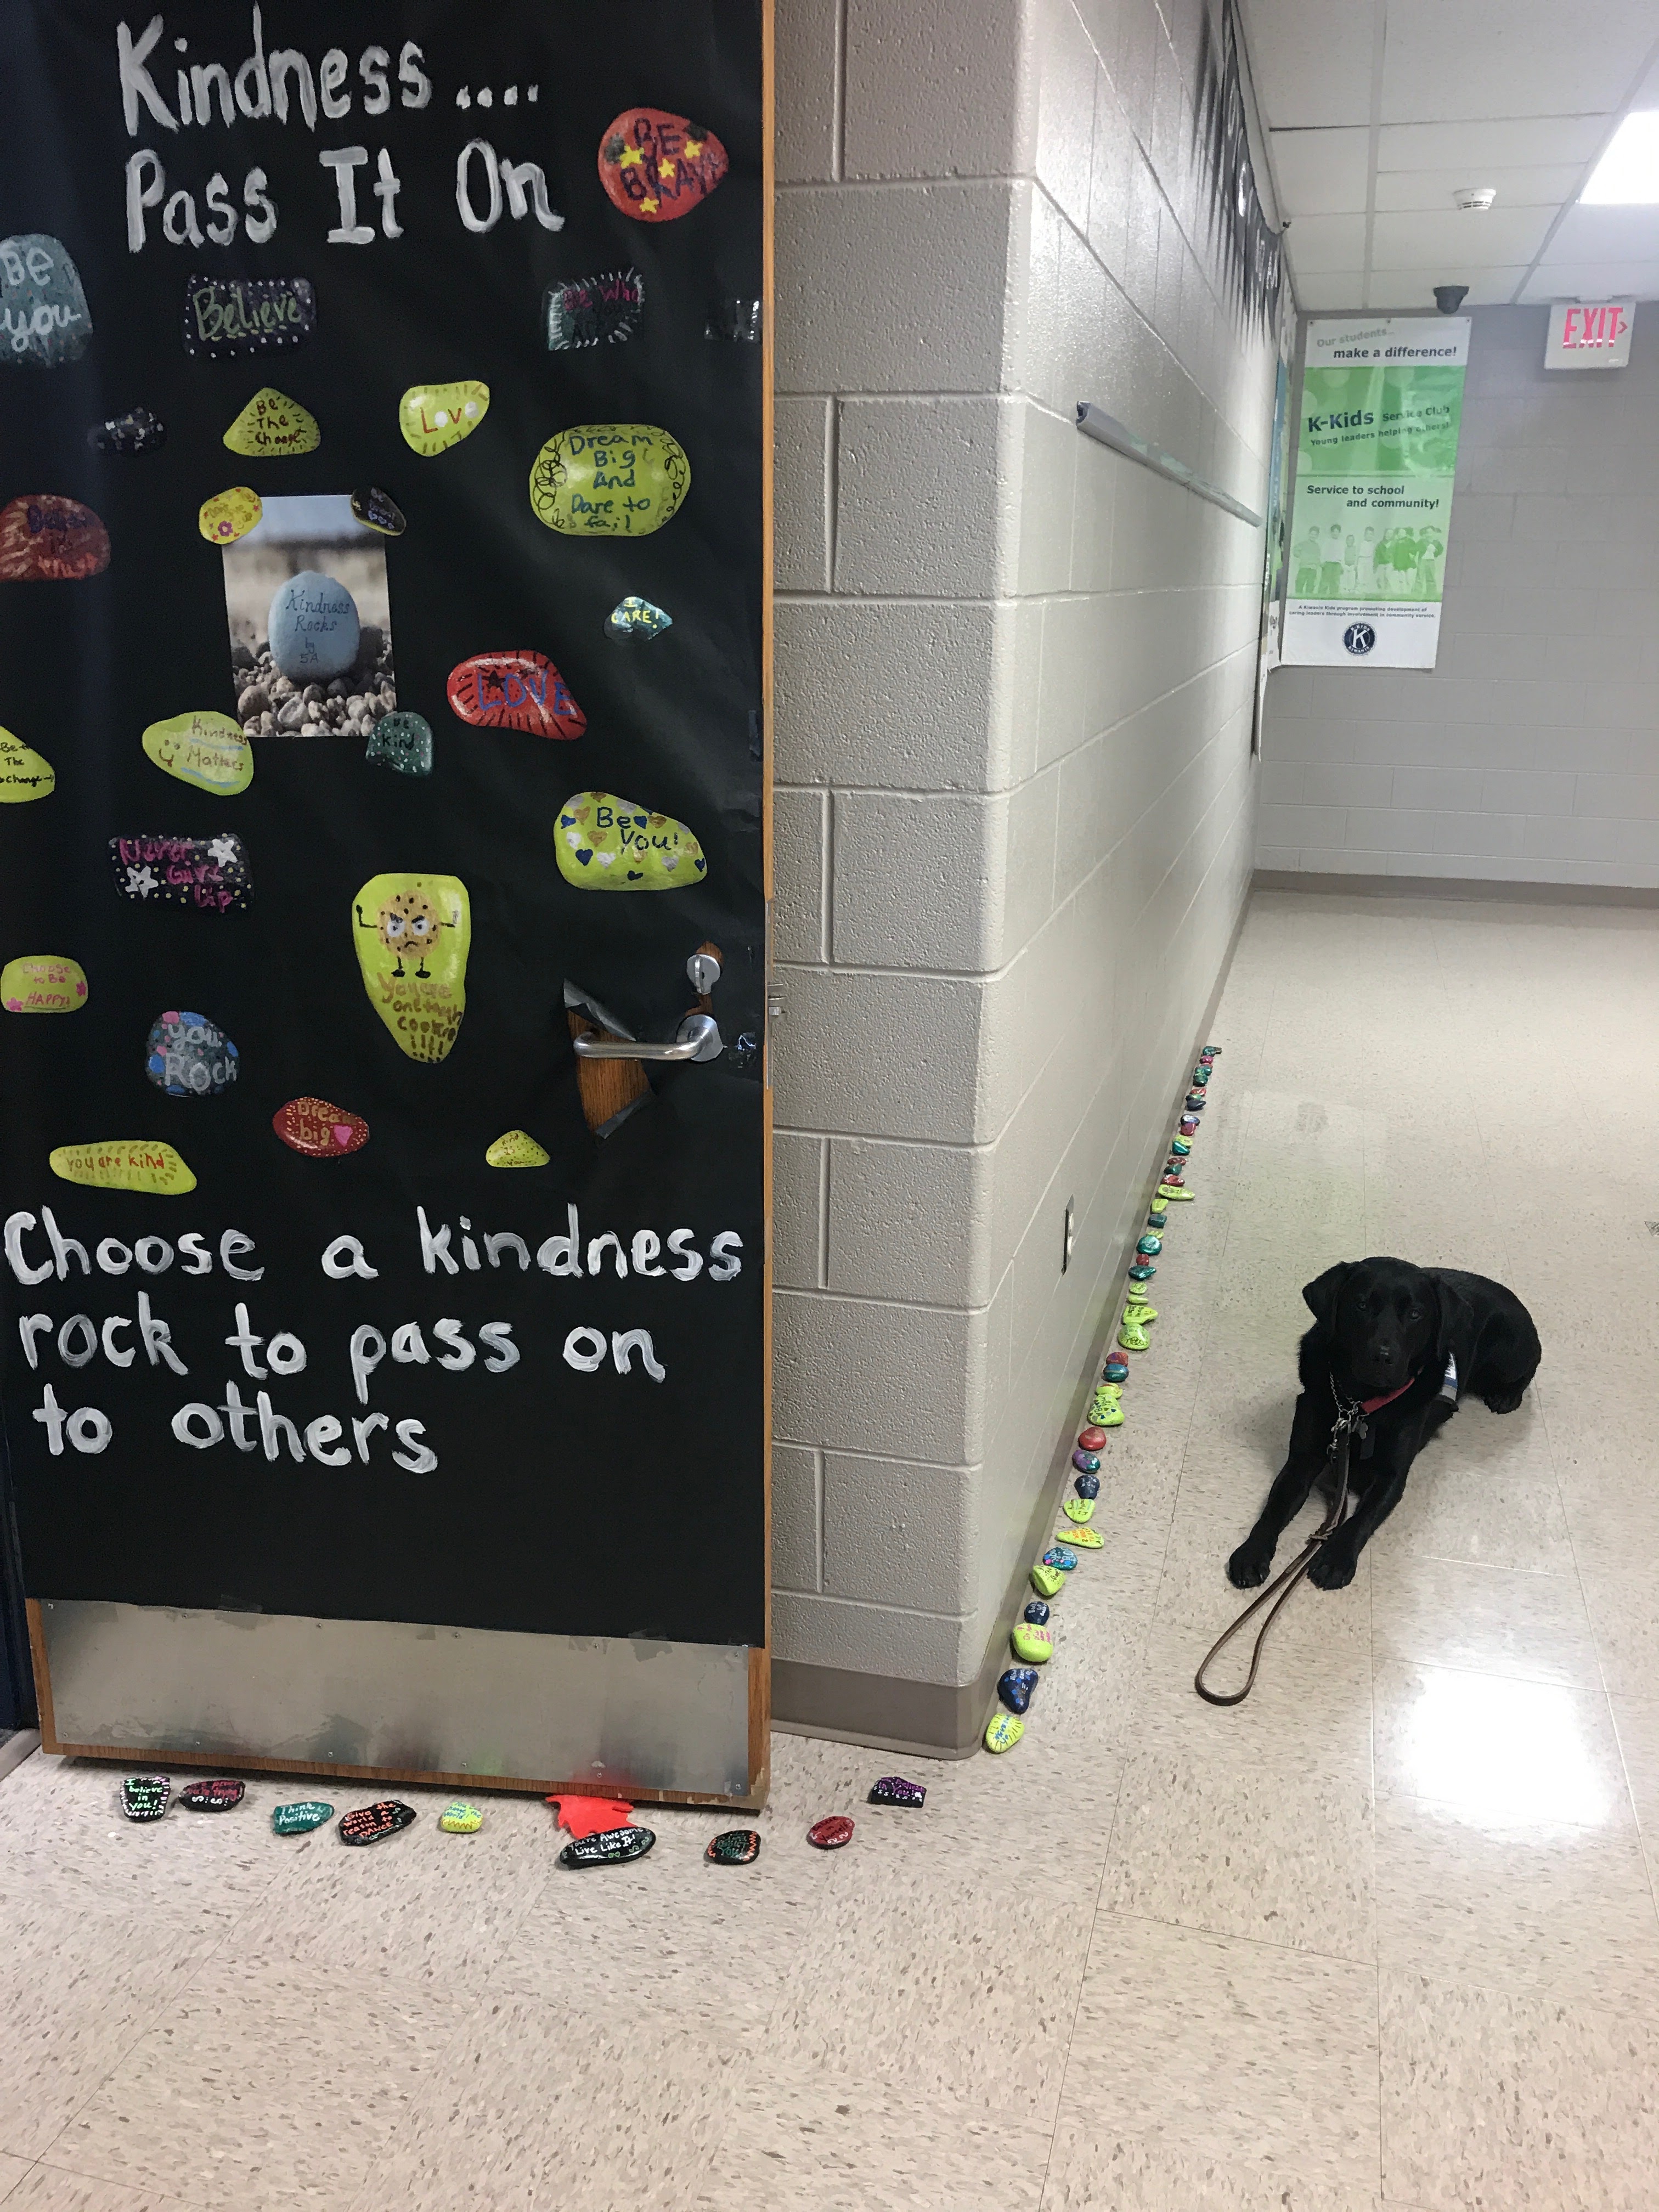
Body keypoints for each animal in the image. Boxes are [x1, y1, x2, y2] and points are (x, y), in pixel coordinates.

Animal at [1238, 1265, 1548, 1593]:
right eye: (1361, 1305)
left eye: (1415, 1314)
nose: (1383, 1357)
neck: (1357, 1404)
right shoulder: (1302, 1459)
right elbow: (1275, 1507)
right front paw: (1251, 1552)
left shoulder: (1392, 1476)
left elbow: (1360, 1520)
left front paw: (1335, 1560)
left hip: (1509, 1350)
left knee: (1531, 1366)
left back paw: (1507, 1396)